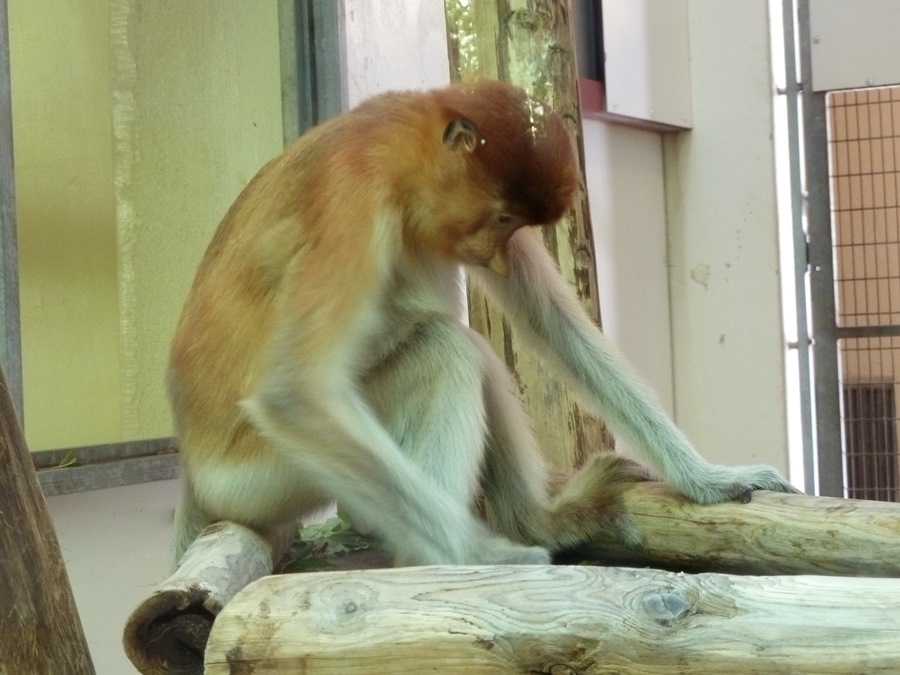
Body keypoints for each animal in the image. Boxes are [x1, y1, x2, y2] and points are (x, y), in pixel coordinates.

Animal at [168, 78, 798, 567]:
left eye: (515, 225)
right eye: (501, 217)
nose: (495, 255)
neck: (400, 147)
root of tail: (195, 474)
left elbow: (553, 325)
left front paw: (709, 478)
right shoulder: (354, 196)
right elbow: (294, 396)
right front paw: (477, 554)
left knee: (469, 349)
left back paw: (539, 522)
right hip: (263, 477)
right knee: (440, 348)